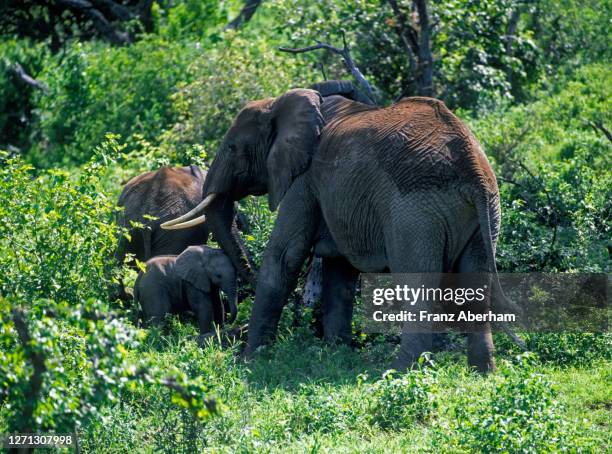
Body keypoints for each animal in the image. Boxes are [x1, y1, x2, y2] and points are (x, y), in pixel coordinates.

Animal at [164, 86, 502, 372]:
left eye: (233, 147)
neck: (281, 102)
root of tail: (471, 167)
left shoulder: (304, 178)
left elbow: (284, 255)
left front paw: (250, 360)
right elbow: (340, 271)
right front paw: (336, 356)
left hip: (414, 214)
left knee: (418, 284)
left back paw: (397, 372)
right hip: (486, 215)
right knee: (477, 284)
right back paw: (482, 372)